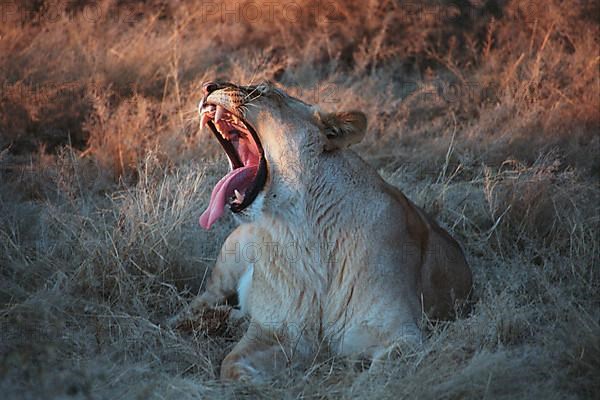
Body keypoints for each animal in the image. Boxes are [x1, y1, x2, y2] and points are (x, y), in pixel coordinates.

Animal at [170, 80, 474, 382]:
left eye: (264, 91)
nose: (209, 86)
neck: (302, 230)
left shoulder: (402, 333)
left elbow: (383, 370)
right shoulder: (272, 331)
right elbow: (230, 365)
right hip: (229, 264)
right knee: (202, 299)